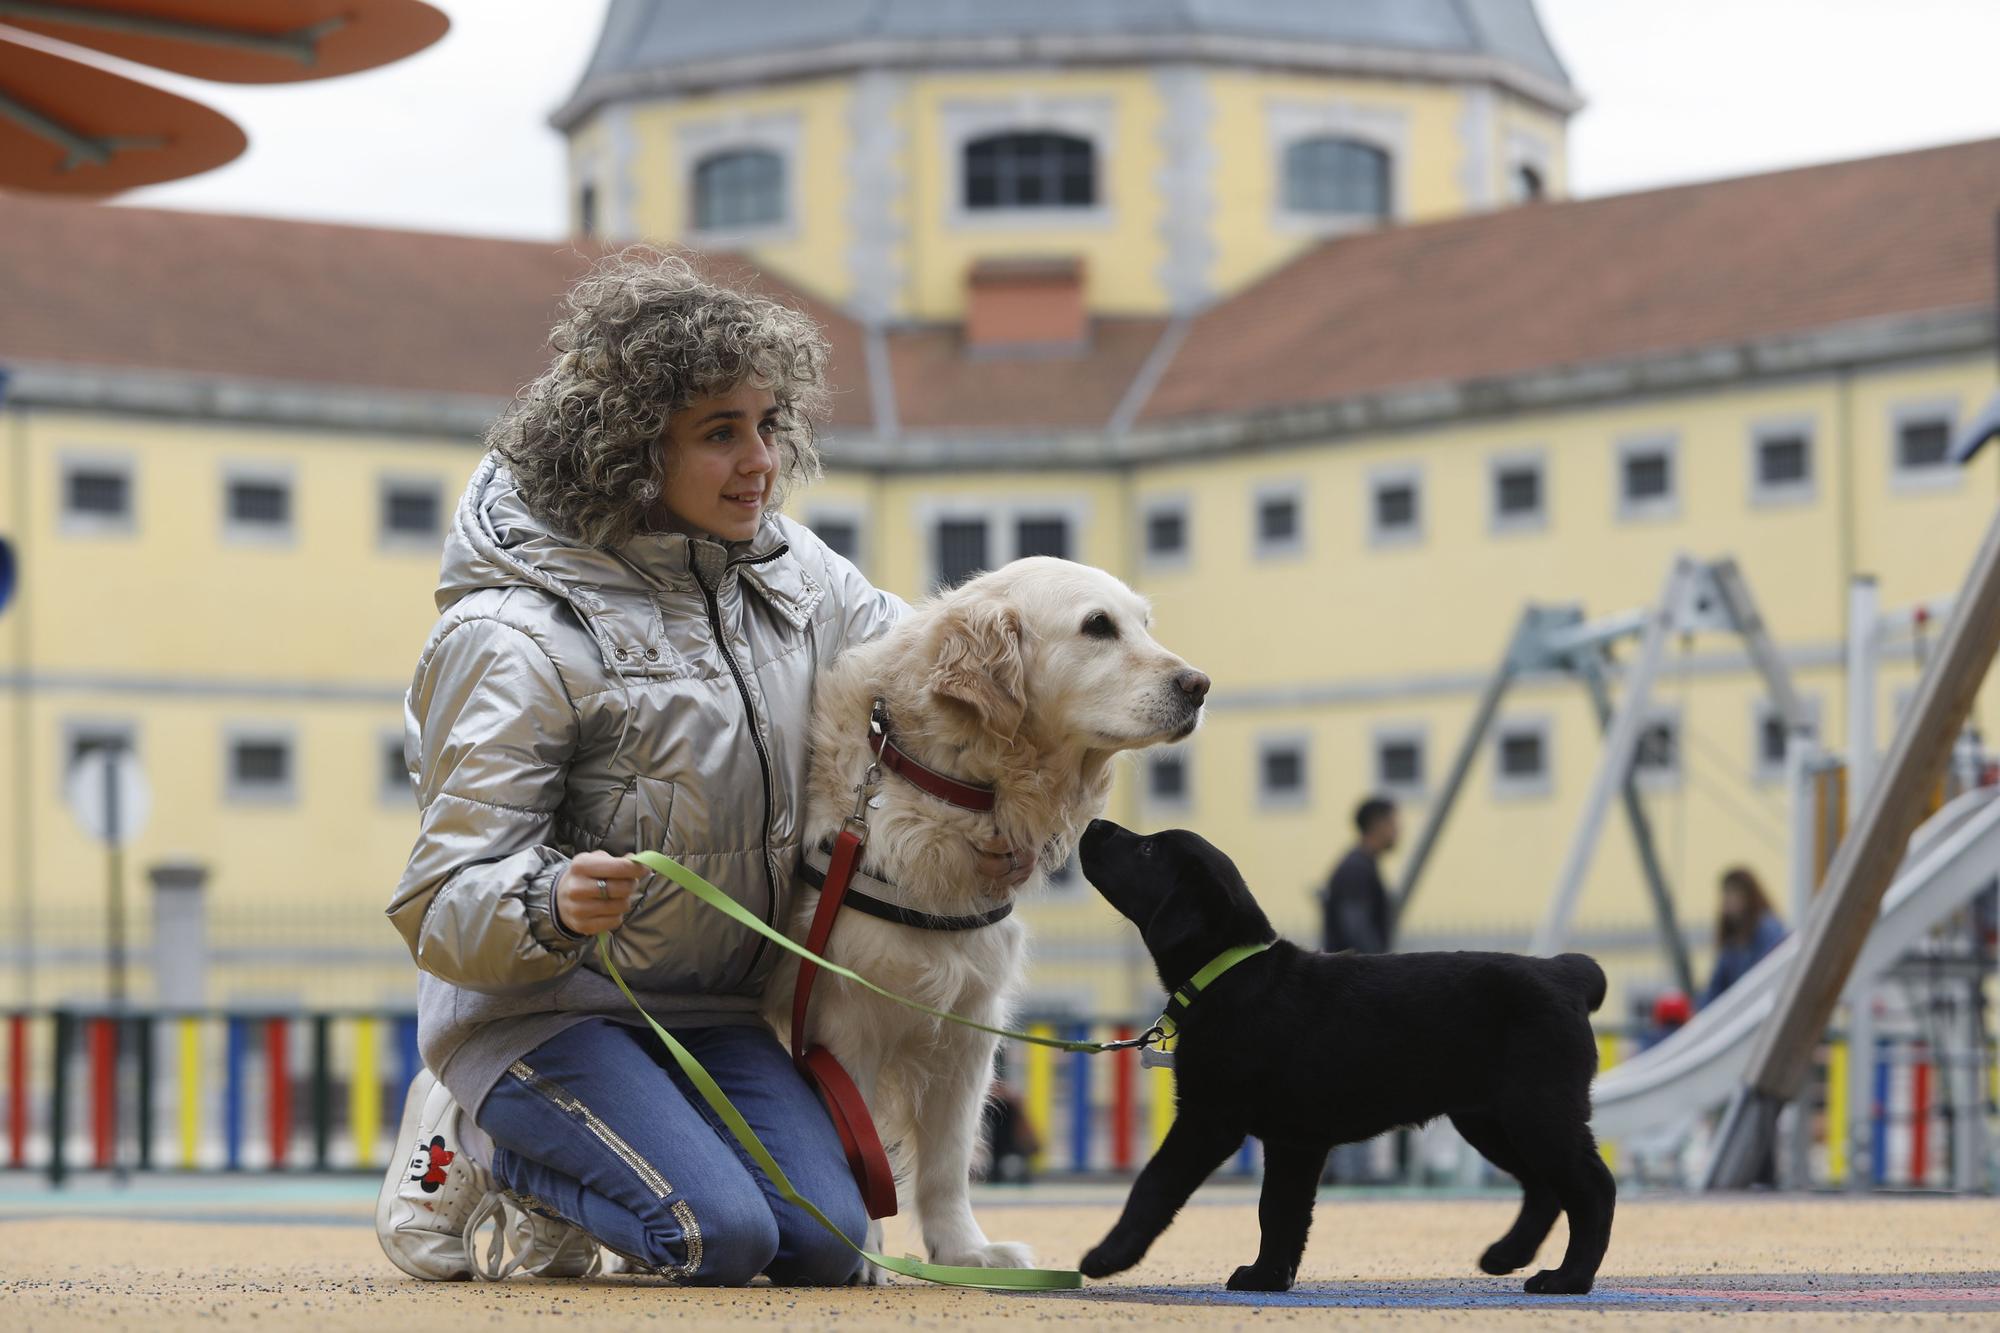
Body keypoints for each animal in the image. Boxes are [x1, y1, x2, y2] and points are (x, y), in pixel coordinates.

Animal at [1080, 816, 1608, 1288]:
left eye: (1148, 849)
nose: (1093, 824)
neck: (1230, 971)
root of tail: (1566, 973)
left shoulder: (1209, 1119)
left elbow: (1155, 1184)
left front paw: (1107, 1257)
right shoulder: (1293, 1141)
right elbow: (1279, 1210)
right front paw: (1268, 1276)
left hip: (1537, 1110)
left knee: (1592, 1186)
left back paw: (1569, 1277)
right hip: (1490, 1119)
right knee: (1544, 1188)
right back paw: (1507, 1255)